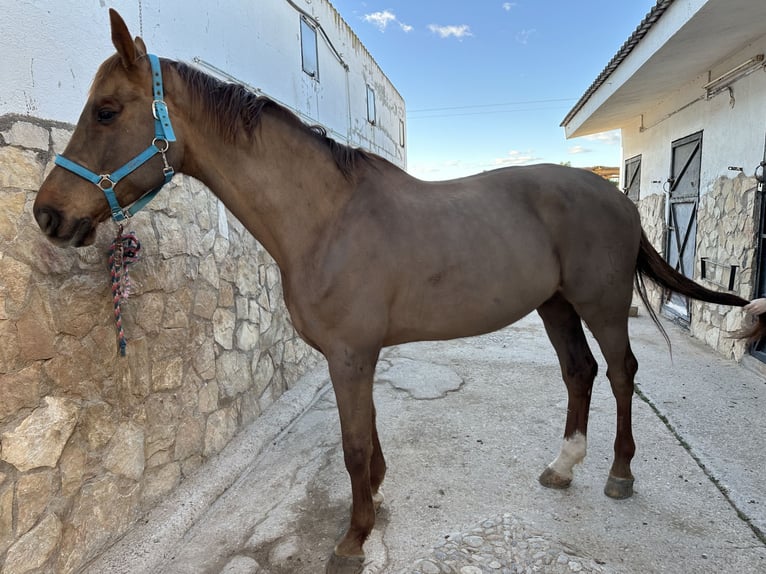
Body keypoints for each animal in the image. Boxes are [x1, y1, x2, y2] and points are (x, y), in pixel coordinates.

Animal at [33, 9, 764, 574]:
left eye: (106, 111)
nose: (47, 215)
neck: (326, 218)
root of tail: (616, 196)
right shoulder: (357, 356)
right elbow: (369, 437)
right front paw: (375, 503)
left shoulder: (350, 355)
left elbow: (354, 445)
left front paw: (353, 539)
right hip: (554, 304)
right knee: (579, 372)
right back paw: (563, 467)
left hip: (601, 302)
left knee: (619, 372)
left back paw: (619, 474)